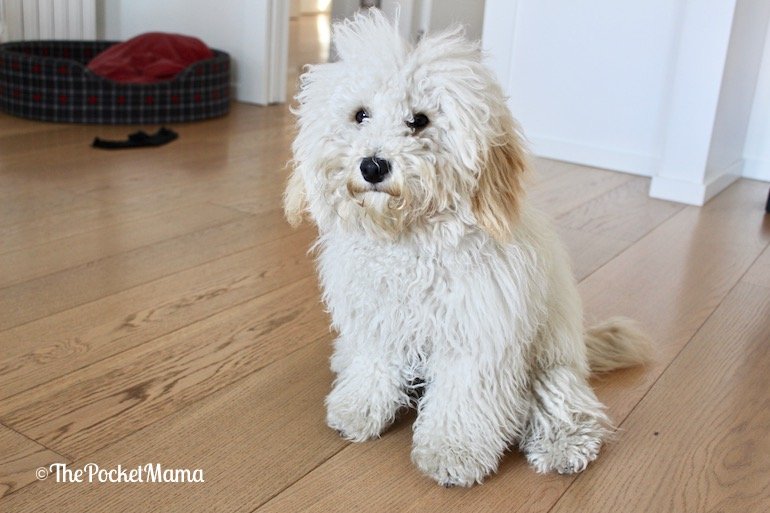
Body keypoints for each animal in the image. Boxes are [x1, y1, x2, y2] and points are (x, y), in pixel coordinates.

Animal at [282, 10, 648, 486]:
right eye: (360, 115)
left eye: (419, 120)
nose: (373, 166)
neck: (410, 241)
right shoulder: (378, 320)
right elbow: (374, 365)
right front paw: (359, 408)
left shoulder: (477, 333)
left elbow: (462, 400)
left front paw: (452, 452)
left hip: (550, 363)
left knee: (564, 404)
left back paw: (564, 445)